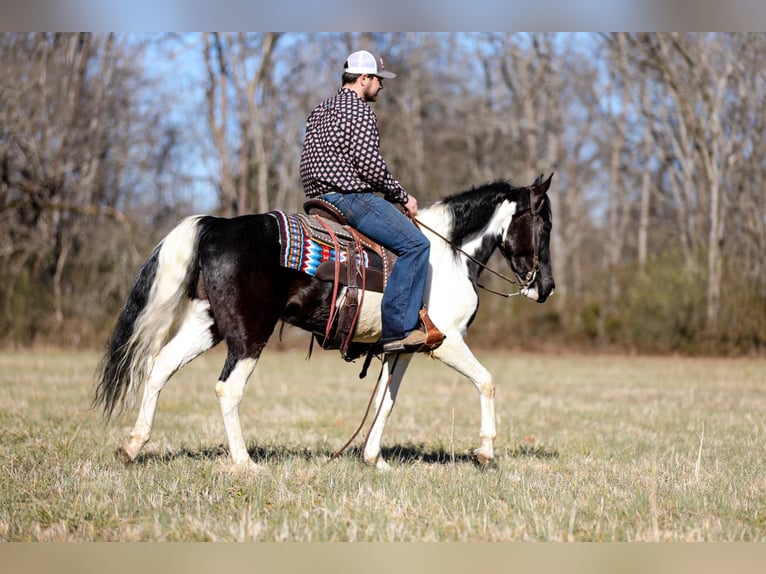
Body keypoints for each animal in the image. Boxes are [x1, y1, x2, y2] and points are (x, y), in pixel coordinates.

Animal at [94, 174, 560, 472]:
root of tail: (218, 226)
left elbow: (385, 400)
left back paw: (132, 447)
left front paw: (373, 459)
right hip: (248, 335)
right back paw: (244, 463)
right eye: (545, 223)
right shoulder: (448, 342)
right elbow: (487, 381)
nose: (546, 287)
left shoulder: (404, 348)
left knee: (159, 368)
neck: (448, 256)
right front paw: (485, 452)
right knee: (228, 389)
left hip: (206, 324)